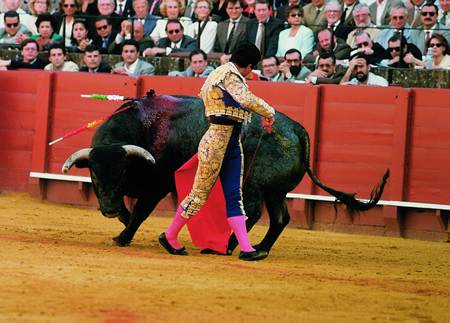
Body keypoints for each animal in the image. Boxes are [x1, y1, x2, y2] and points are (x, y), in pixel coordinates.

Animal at [61, 92, 388, 256]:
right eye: (94, 175)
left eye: (121, 173)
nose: (107, 208)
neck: (144, 127)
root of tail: (298, 129)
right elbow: (132, 212)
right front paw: (122, 224)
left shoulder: (159, 183)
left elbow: (141, 211)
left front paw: (122, 237)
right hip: (275, 190)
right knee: (280, 218)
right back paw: (259, 249)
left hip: (253, 185)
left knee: (251, 213)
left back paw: (231, 246)